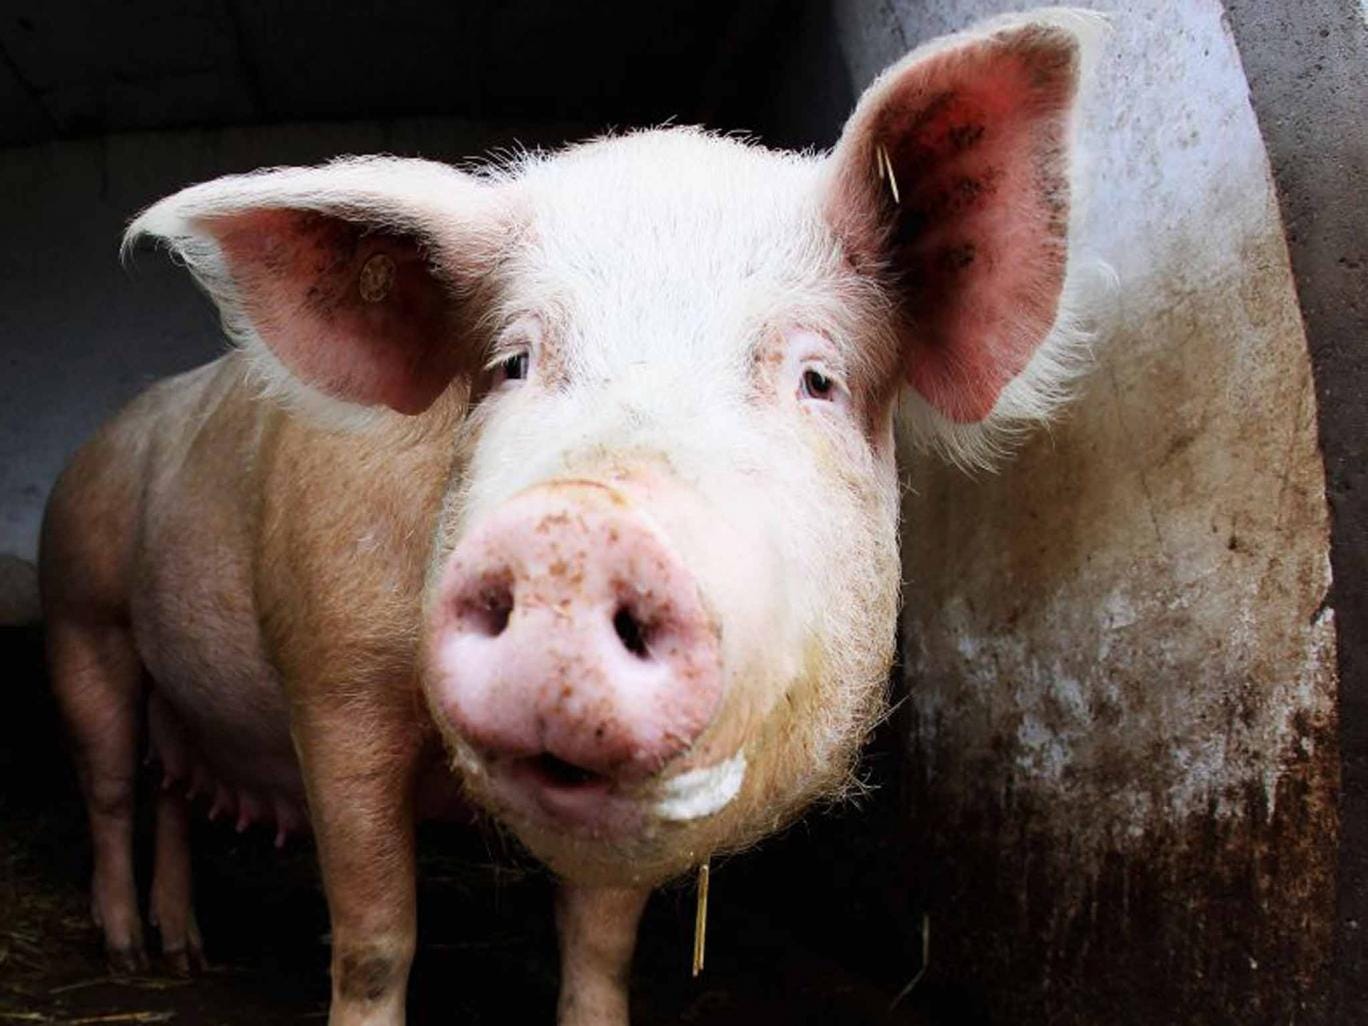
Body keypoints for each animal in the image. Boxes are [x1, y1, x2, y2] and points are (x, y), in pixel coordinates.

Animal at [39, 9, 1102, 1024]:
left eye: (817, 378)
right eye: (513, 362)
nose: (576, 532)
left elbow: (599, 946)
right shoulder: (332, 681)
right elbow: (377, 936)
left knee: (172, 795)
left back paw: (183, 952)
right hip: (81, 614)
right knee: (113, 787)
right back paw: (128, 953)